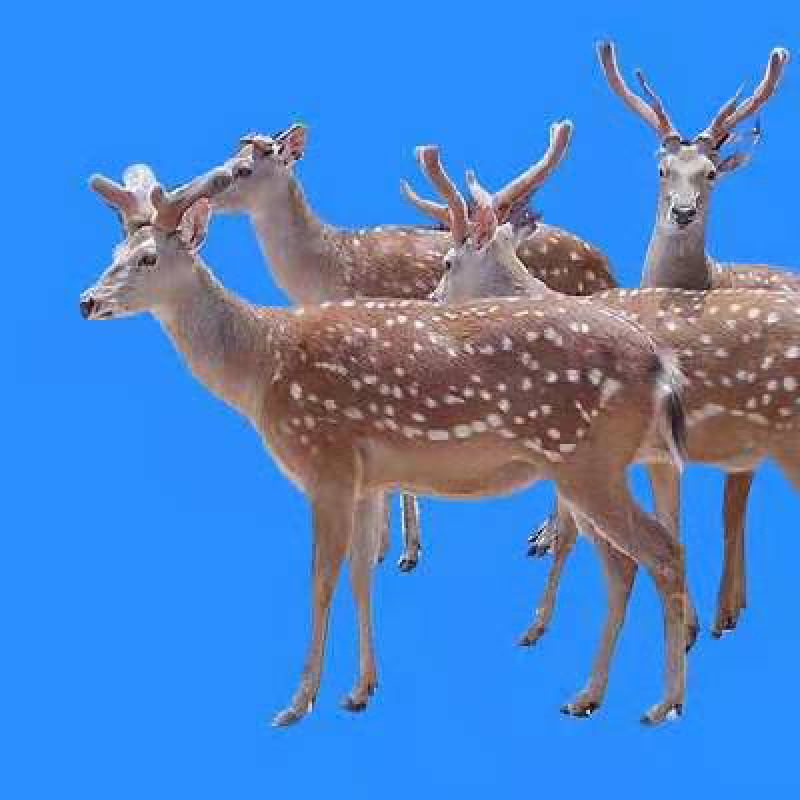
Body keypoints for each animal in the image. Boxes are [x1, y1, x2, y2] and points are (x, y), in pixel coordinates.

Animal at [206, 121, 614, 572]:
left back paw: (549, 537)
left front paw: (395, 550)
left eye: (242, 170)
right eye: (228, 158)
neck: (328, 270)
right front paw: (394, 546)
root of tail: (606, 266)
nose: (202, 192)